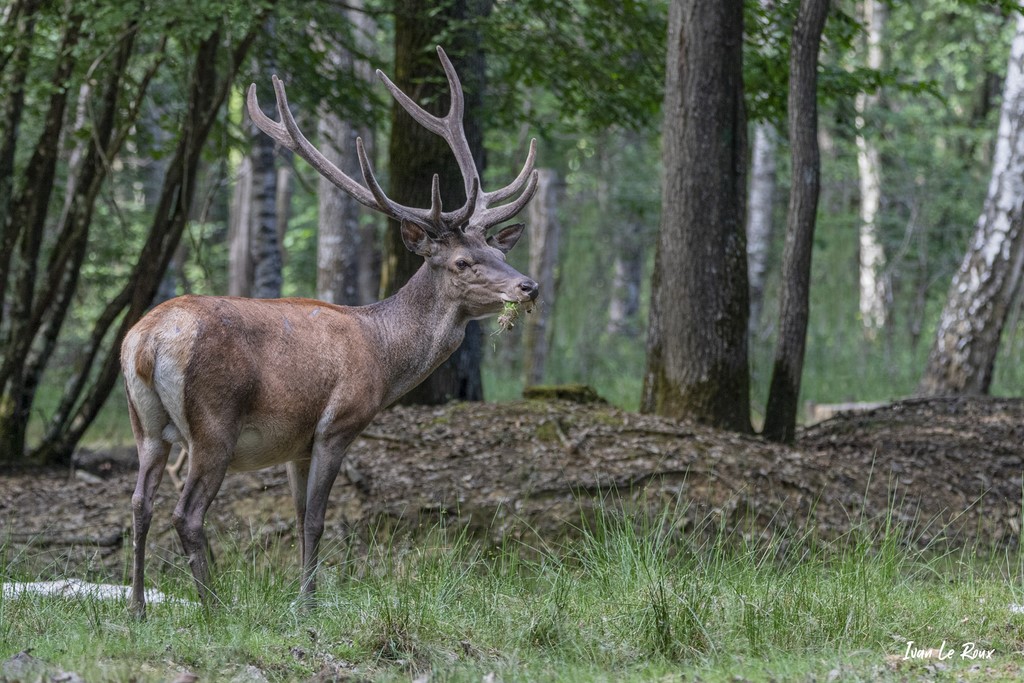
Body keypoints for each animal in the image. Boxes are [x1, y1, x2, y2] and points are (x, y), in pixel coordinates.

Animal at [121, 46, 539, 618]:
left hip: (145, 424)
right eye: (461, 262)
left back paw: (138, 609)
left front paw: (305, 597)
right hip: (213, 424)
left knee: (139, 503)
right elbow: (319, 520)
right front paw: (308, 604)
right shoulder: (337, 423)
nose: (528, 286)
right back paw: (213, 609)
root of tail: (147, 341)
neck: (384, 355)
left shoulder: (295, 443)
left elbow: (299, 519)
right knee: (185, 513)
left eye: (498, 251)